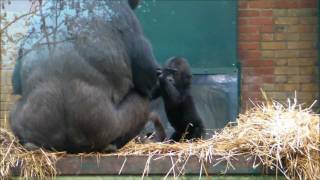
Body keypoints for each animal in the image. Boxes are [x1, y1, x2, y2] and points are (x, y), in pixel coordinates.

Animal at [10, 0, 160, 153]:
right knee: (141, 102)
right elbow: (147, 80)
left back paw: (30, 144)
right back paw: (111, 146)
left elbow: (16, 83)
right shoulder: (126, 15)